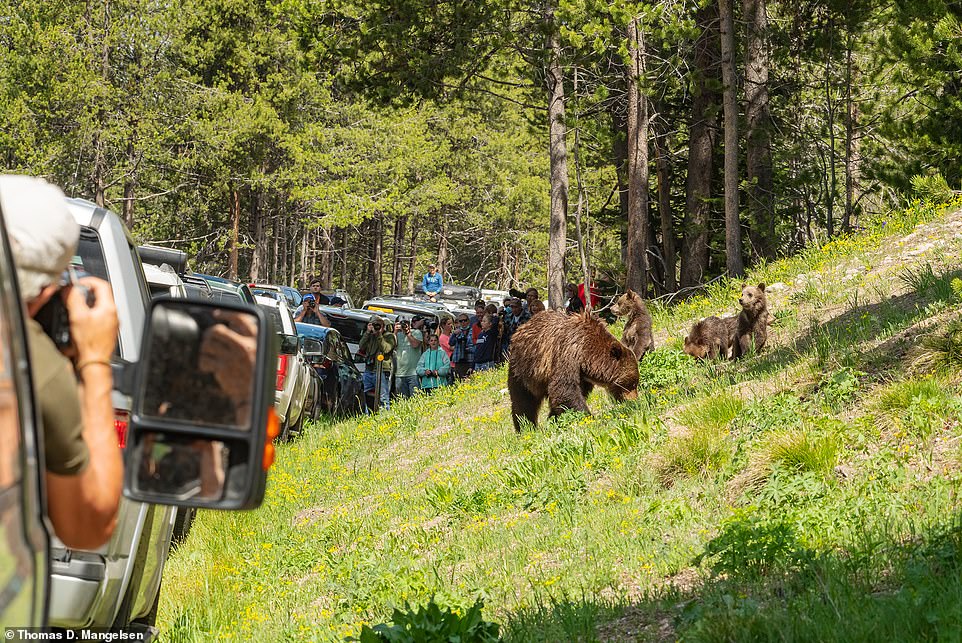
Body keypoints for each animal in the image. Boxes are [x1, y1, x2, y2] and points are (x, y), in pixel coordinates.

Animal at [502, 310, 636, 432]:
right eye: (631, 384)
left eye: (635, 383)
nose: (633, 400)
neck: (587, 354)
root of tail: (520, 328)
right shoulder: (567, 354)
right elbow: (565, 390)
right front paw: (588, 418)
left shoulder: (582, 375)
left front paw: (555, 420)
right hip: (522, 371)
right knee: (523, 402)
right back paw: (525, 427)